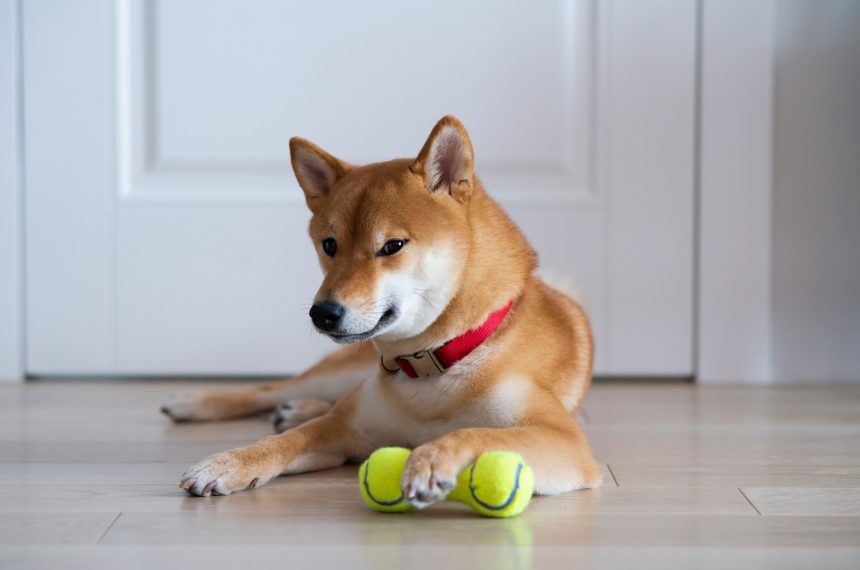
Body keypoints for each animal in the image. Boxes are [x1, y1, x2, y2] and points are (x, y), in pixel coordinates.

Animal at [163, 114, 604, 502]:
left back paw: (295, 409)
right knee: (270, 390)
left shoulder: (565, 441)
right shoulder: (344, 429)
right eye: (329, 245)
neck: (439, 360)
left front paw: (430, 458)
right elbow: (282, 441)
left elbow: (475, 433)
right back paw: (199, 402)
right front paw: (227, 463)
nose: (322, 313)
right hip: (341, 372)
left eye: (392, 246)